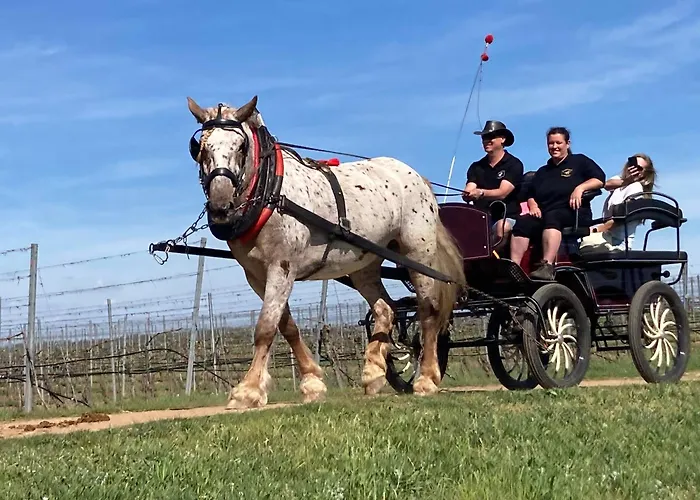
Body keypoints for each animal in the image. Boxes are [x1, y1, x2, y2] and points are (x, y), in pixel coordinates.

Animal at [185, 95, 466, 409]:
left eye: (241, 146)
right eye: (200, 148)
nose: (221, 208)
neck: (271, 192)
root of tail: (417, 176)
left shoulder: (282, 266)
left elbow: (266, 327)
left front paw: (248, 390)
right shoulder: (256, 275)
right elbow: (287, 326)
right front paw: (312, 382)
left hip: (417, 252)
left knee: (428, 310)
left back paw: (426, 378)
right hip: (365, 263)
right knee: (385, 308)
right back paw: (373, 372)